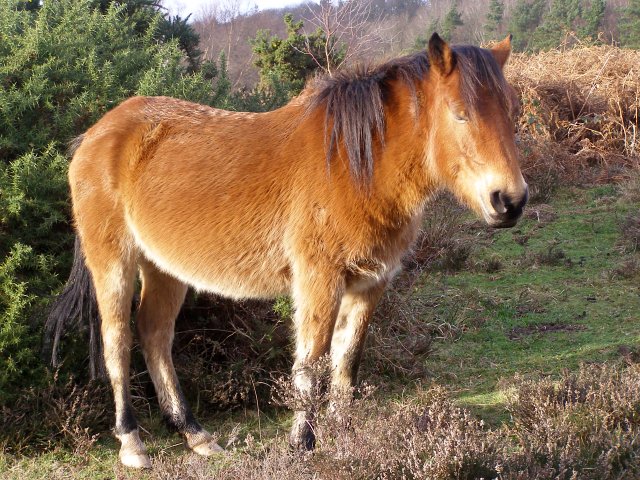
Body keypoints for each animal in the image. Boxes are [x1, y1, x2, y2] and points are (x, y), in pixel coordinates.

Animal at [43, 34, 524, 468]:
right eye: (460, 114)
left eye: (511, 111)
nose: (510, 201)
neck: (353, 164)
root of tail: (95, 135)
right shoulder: (319, 281)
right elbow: (310, 366)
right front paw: (302, 444)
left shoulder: (369, 285)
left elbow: (346, 366)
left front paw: (344, 437)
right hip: (113, 263)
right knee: (118, 341)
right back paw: (132, 442)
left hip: (164, 269)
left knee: (155, 334)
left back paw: (195, 435)